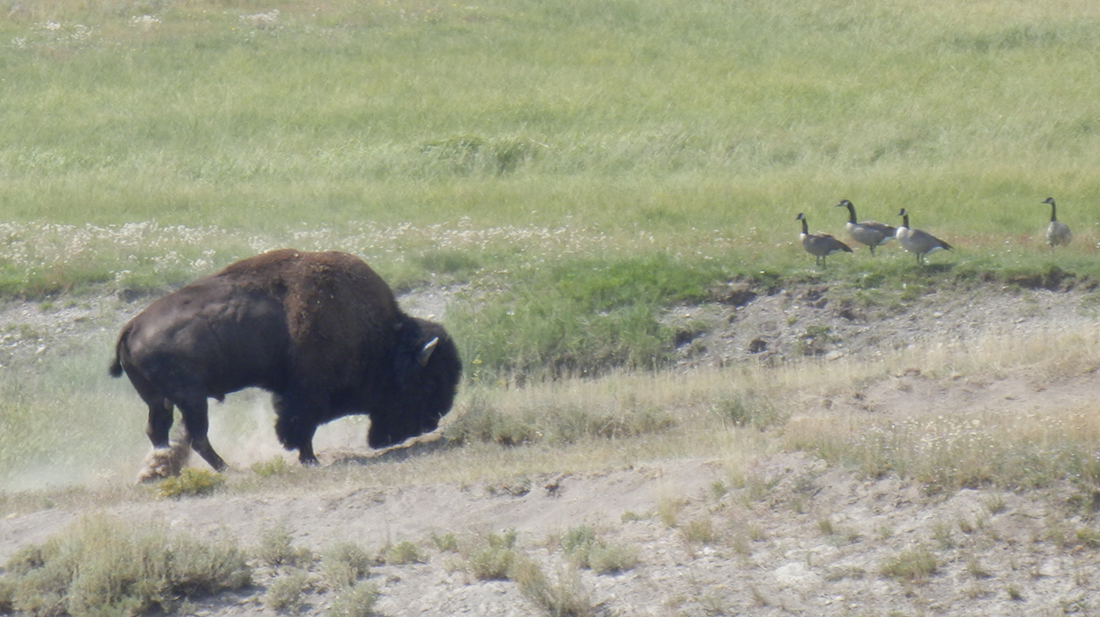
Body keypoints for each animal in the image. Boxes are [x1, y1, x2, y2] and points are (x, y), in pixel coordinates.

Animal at [114, 247, 464, 479]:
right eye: (431, 380)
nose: (431, 421)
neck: (382, 338)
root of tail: (132, 326)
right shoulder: (307, 393)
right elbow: (301, 426)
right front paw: (310, 460)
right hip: (191, 399)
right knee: (197, 435)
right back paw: (228, 469)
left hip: (163, 401)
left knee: (161, 431)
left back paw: (163, 469)